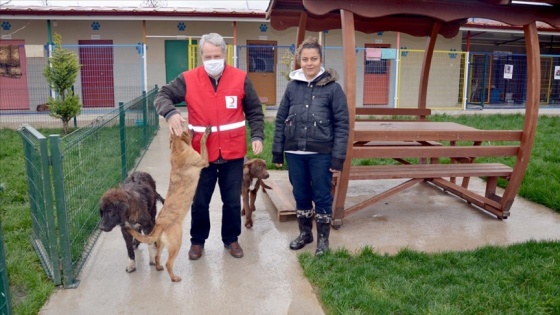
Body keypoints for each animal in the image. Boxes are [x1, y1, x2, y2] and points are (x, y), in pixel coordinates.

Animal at [126, 127, 210, 282]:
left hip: (161, 243)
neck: (177, 149)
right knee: (168, 263)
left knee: (157, 257)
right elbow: (202, 143)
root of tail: (160, 224)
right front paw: (206, 133)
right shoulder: (203, 160)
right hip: (177, 243)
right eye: (185, 129)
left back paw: (158, 267)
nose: (192, 128)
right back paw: (174, 278)